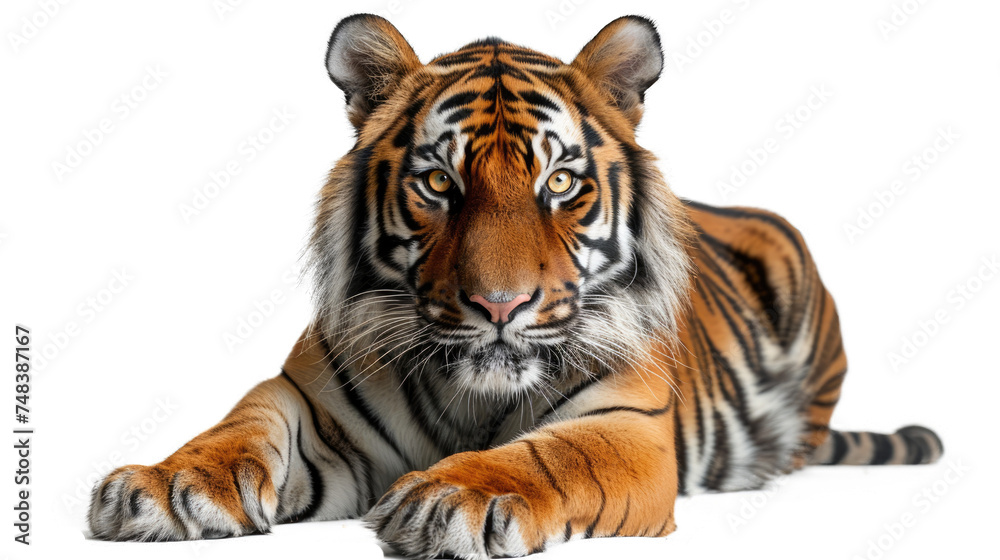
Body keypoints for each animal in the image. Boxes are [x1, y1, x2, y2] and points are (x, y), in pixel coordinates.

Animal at [87, 14, 943, 558]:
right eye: (439, 182)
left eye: (560, 183)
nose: (500, 306)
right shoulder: (309, 399)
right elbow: (239, 424)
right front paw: (168, 485)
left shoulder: (627, 425)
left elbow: (554, 457)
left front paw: (452, 499)